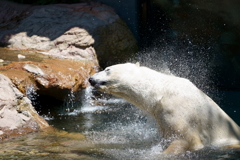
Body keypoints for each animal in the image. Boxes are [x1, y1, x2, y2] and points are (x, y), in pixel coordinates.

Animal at [88, 62, 240, 154]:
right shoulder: (161, 118)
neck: (161, 91)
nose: (90, 79)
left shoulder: (177, 111)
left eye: (107, 69)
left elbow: (187, 140)